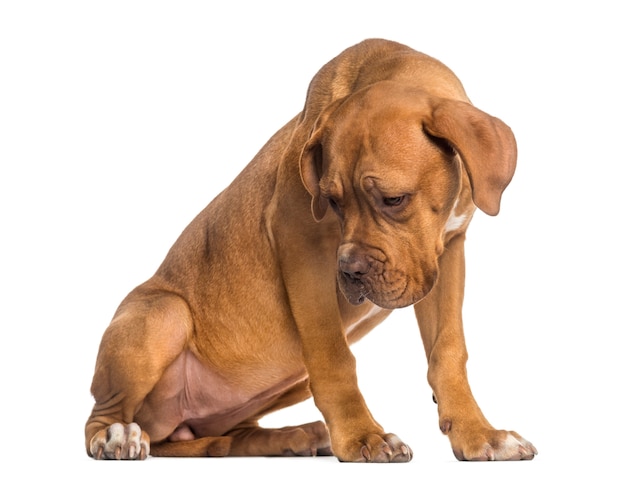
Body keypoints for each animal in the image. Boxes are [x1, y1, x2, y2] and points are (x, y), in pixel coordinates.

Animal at [85, 38, 536, 464]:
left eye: (394, 200)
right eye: (332, 202)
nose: (351, 272)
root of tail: (169, 427)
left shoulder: (448, 254)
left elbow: (448, 351)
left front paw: (479, 434)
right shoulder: (300, 243)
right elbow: (333, 357)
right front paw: (362, 436)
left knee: (228, 437)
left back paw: (294, 437)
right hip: (164, 315)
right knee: (103, 417)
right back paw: (118, 437)